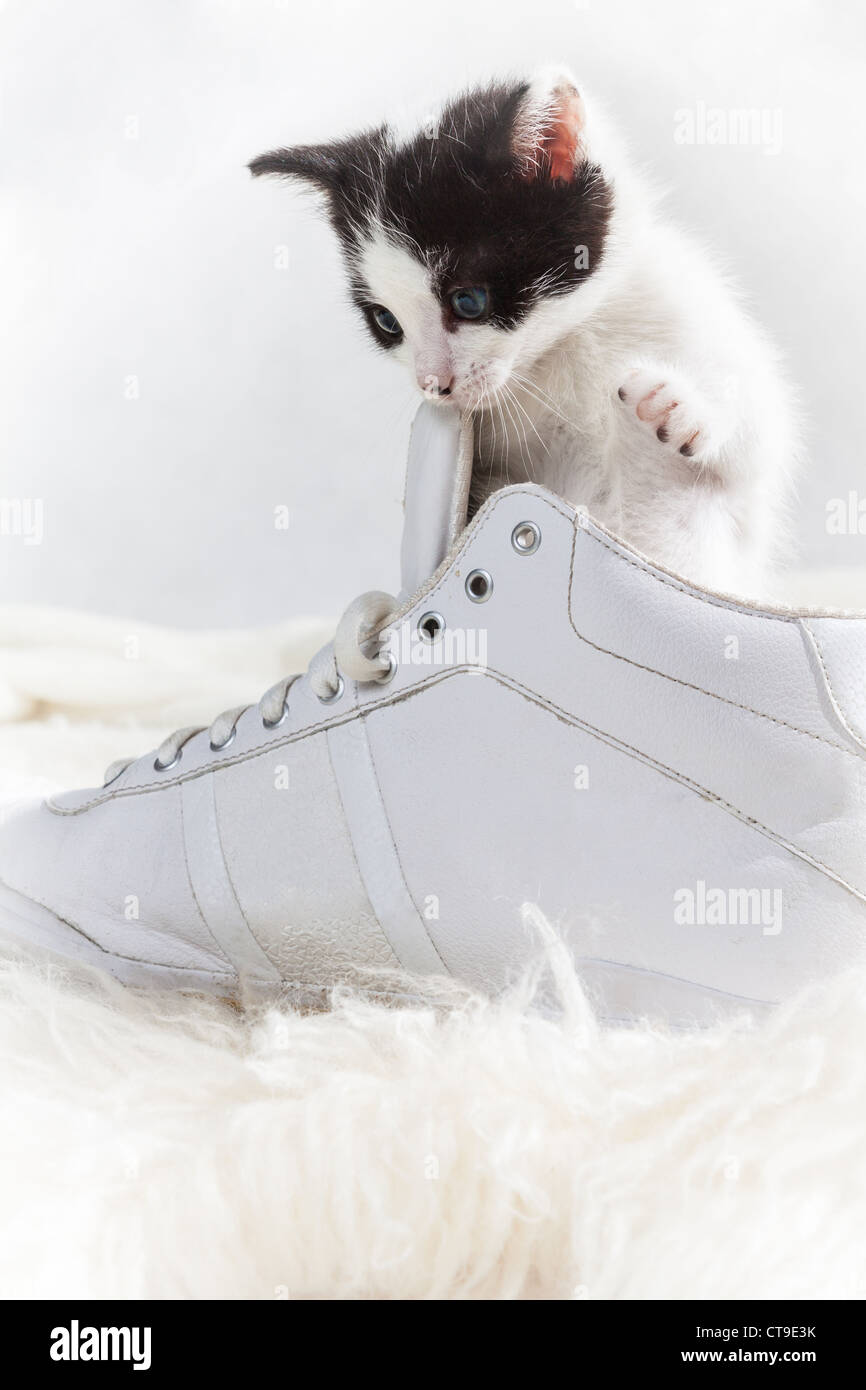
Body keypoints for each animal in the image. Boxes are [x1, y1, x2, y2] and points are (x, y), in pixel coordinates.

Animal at [248, 70, 795, 592]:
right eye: (386, 322)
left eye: (468, 301)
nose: (433, 384)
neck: (559, 349)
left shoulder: (680, 305)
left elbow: (762, 432)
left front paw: (677, 409)